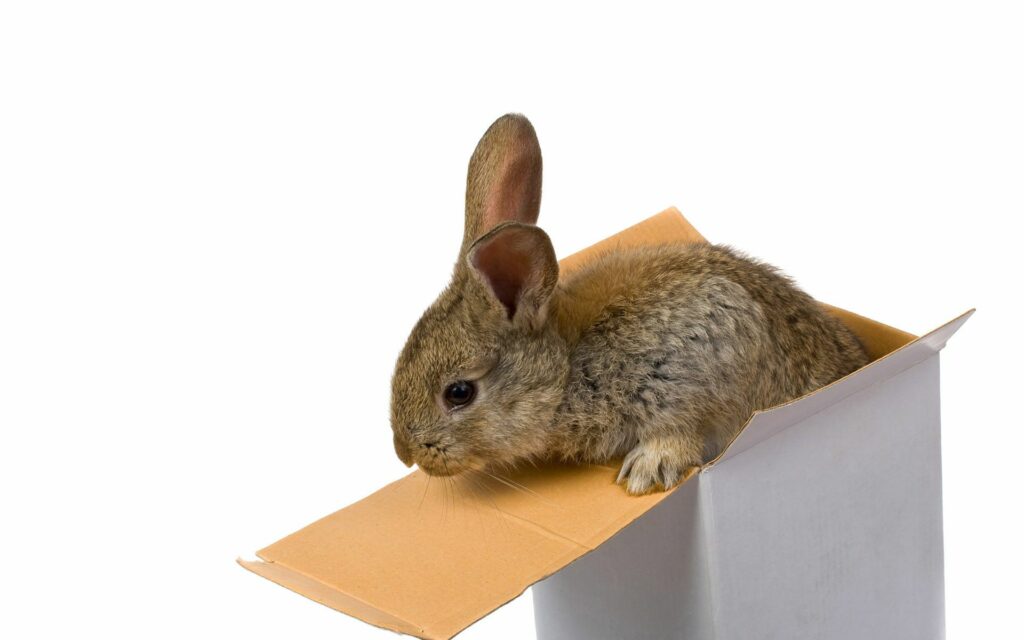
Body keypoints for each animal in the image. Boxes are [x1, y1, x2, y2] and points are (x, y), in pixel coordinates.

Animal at [390, 113, 869, 495]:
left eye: (459, 392)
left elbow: (684, 430)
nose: (405, 453)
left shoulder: (702, 359)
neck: (567, 368)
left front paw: (646, 471)